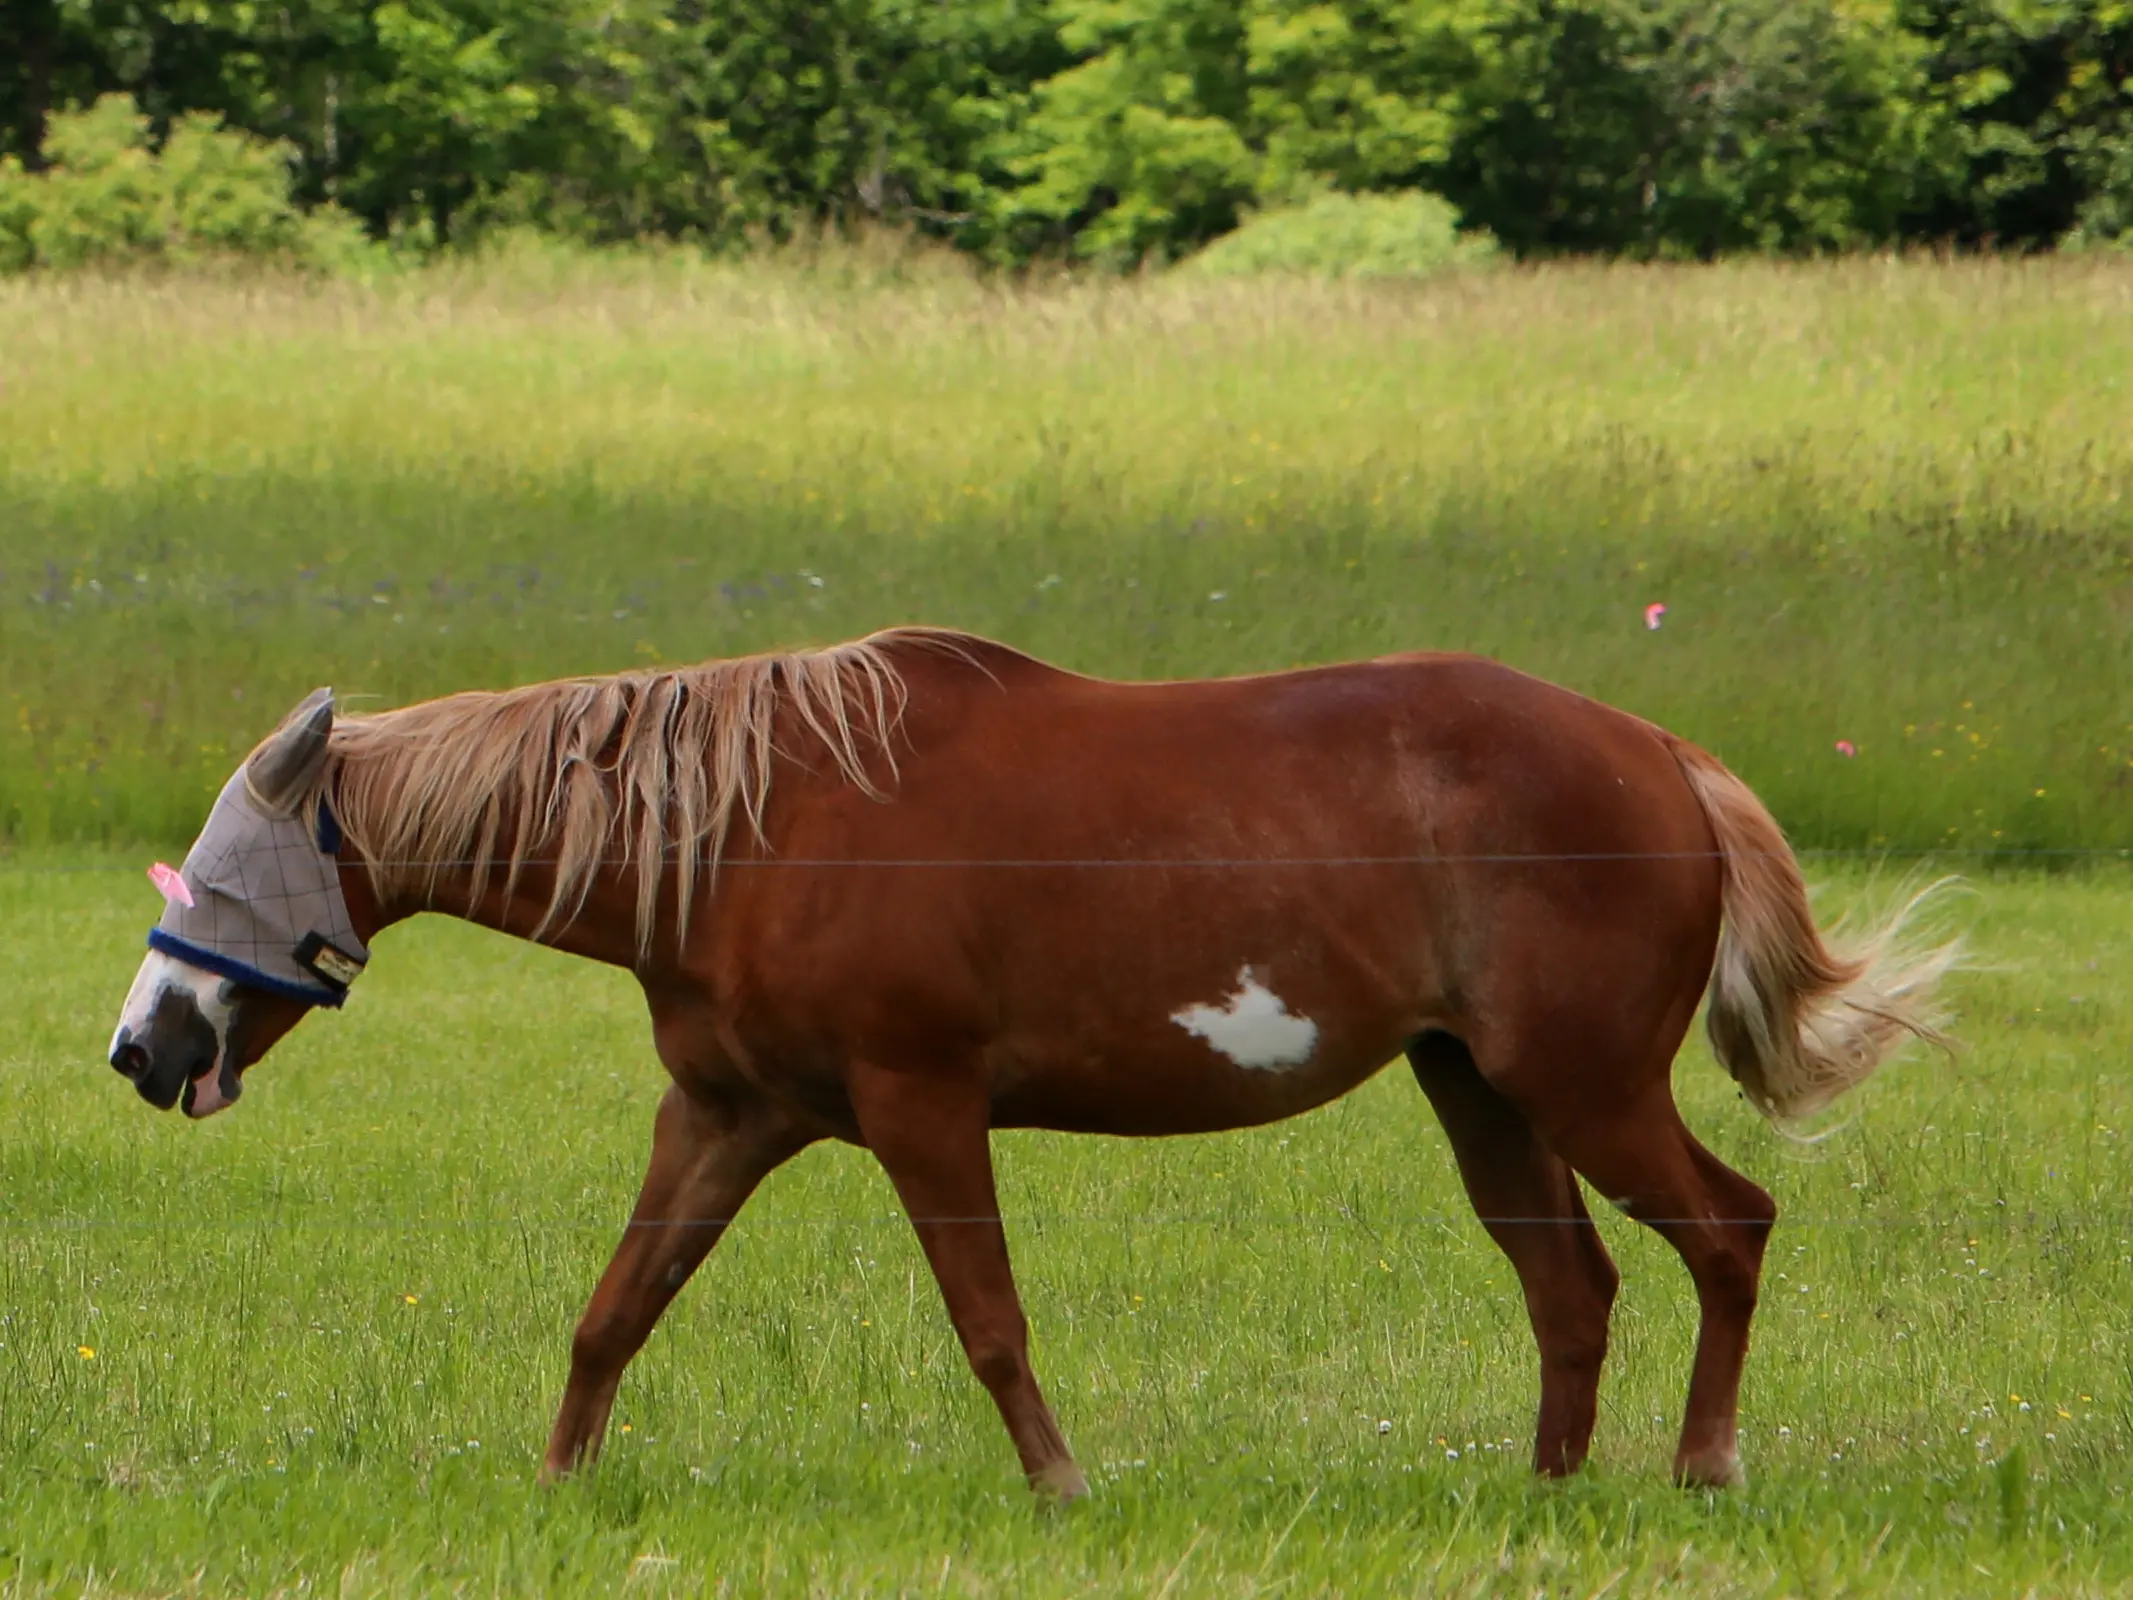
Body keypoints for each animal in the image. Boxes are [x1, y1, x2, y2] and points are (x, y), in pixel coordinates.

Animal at [108, 622, 1953, 1493]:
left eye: (217, 872)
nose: (139, 1048)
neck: (750, 828)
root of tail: (1658, 752)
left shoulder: (921, 1110)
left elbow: (988, 1324)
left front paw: (1062, 1487)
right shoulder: (727, 1115)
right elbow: (613, 1313)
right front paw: (559, 1488)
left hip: (1586, 1090)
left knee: (1725, 1235)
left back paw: (1701, 1467)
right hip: (1481, 1093)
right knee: (1571, 1290)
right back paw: (1548, 1496)